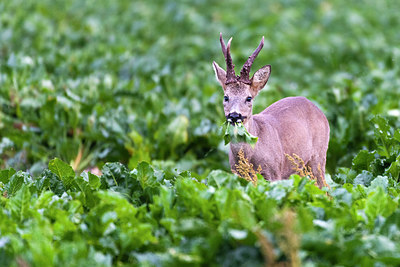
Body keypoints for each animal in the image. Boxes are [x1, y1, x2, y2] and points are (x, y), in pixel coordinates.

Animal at [211, 33, 330, 187]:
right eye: (226, 97)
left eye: (249, 98)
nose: (234, 115)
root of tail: (319, 110)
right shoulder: (237, 176)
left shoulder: (273, 174)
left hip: (319, 157)